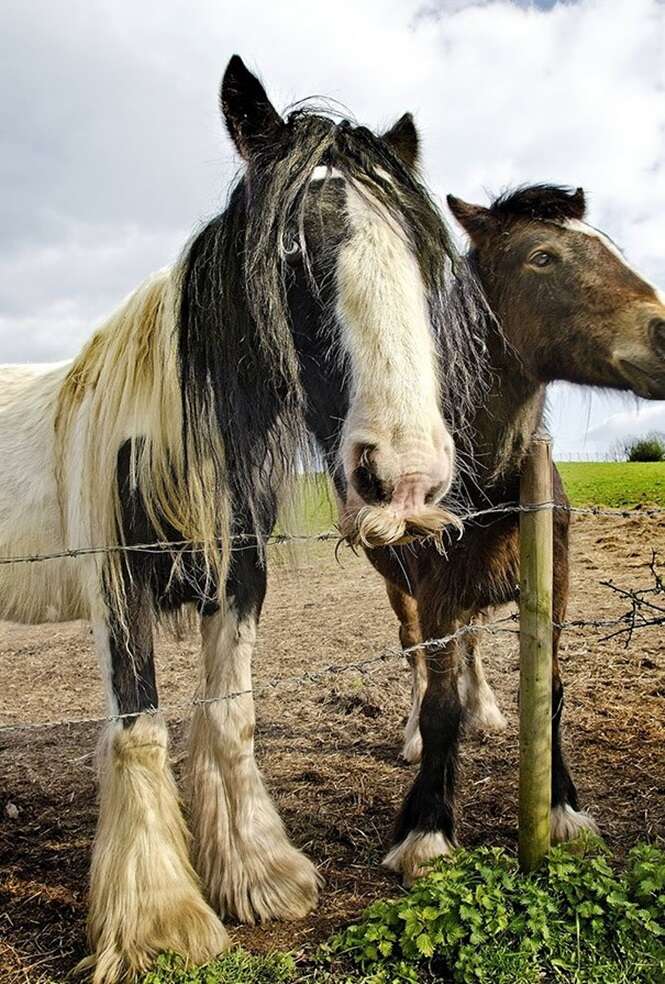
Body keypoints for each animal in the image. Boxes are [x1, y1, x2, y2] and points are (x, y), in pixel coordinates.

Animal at [2, 57, 486, 980]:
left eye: (420, 254)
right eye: (290, 247)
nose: (405, 476)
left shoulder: (240, 579)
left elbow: (232, 717)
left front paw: (259, 876)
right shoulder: (116, 592)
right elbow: (139, 730)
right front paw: (160, 920)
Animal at [364, 184, 664, 884]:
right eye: (542, 257)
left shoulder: (553, 583)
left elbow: (549, 689)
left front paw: (563, 810)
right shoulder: (436, 590)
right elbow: (441, 704)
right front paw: (425, 831)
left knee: (469, 646)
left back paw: (489, 711)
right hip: (400, 589)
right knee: (416, 655)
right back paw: (412, 733)